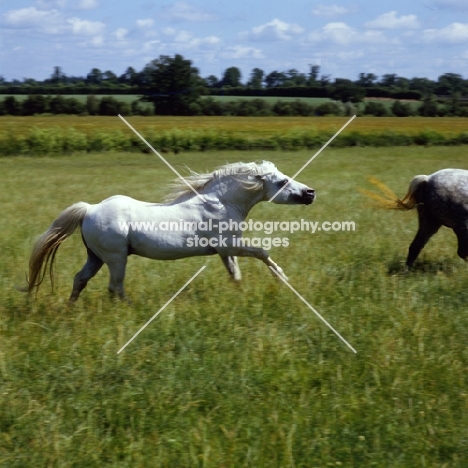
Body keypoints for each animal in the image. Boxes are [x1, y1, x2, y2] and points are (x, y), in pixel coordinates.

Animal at [22, 160, 314, 300]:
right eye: (282, 181)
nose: (310, 193)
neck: (222, 203)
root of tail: (90, 209)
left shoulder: (224, 251)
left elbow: (235, 275)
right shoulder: (229, 245)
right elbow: (263, 252)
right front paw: (283, 278)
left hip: (96, 257)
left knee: (80, 280)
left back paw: (70, 308)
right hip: (116, 258)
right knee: (115, 287)